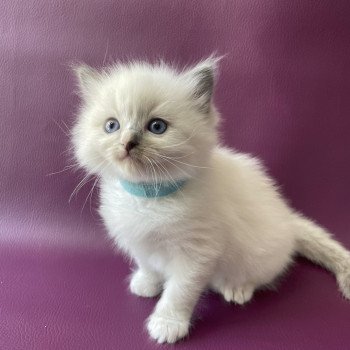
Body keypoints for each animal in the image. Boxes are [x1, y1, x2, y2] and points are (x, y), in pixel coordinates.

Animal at [71, 56, 350, 342]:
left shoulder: (196, 254)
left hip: (258, 255)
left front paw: (167, 325)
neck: (149, 196)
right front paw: (146, 284)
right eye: (112, 126)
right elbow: (147, 264)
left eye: (157, 127)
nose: (128, 142)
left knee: (260, 276)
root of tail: (288, 218)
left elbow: (178, 293)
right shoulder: (138, 241)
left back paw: (237, 289)